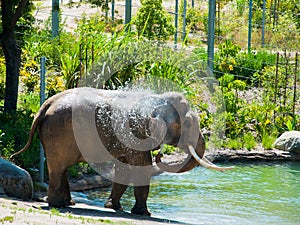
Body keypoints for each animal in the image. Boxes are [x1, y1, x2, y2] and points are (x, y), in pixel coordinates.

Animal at [11, 86, 232, 216]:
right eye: (186, 123)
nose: (161, 154)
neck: (156, 97)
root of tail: (46, 104)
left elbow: (124, 168)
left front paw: (114, 208)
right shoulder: (137, 133)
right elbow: (141, 167)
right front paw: (143, 214)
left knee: (61, 167)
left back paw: (67, 203)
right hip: (59, 132)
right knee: (58, 167)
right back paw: (59, 205)